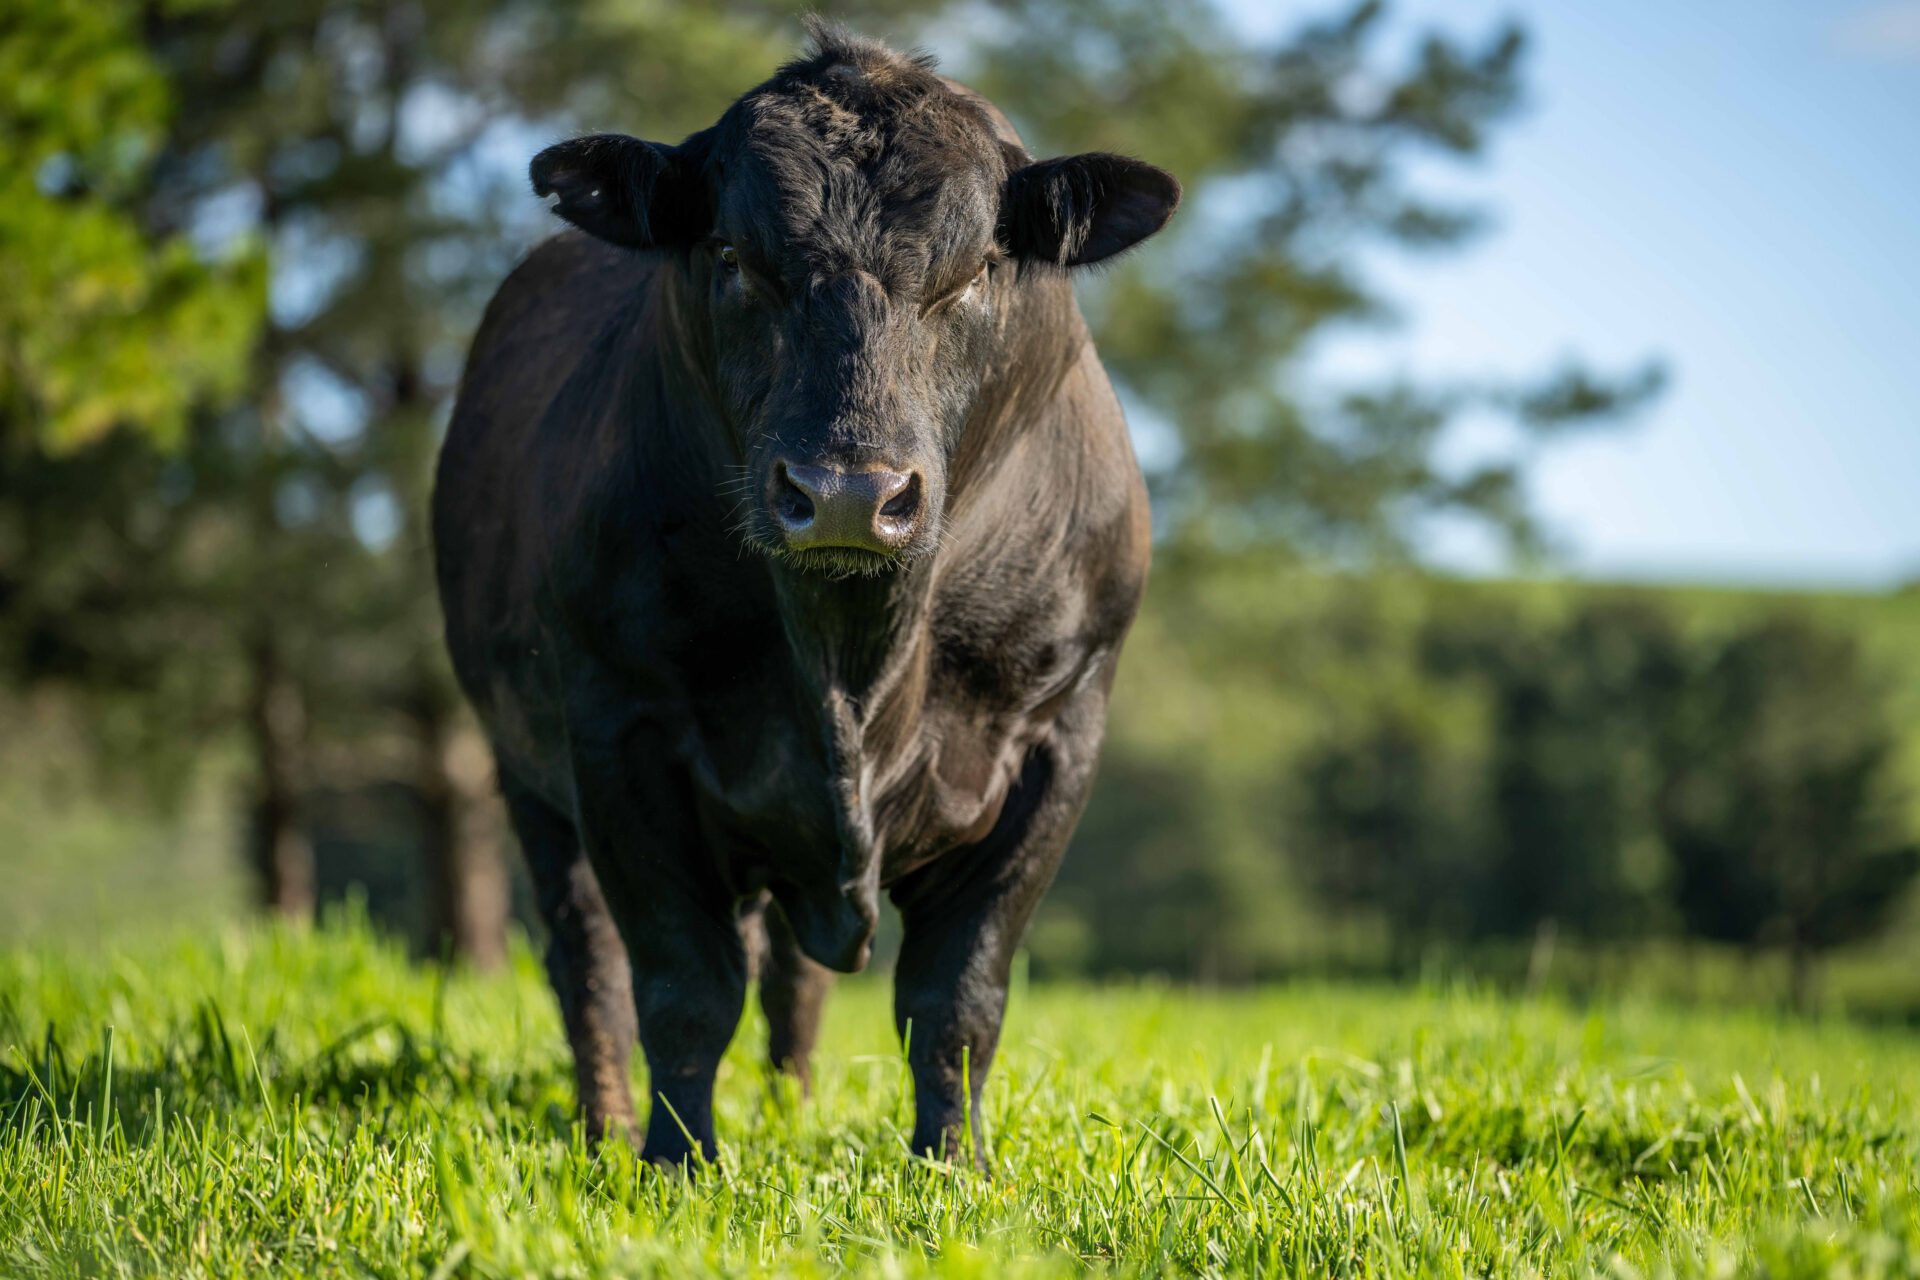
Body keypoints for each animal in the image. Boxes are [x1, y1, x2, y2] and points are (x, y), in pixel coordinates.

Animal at [431, 21, 1177, 1168]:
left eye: (973, 271)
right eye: (736, 258)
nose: (847, 494)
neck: (856, 662)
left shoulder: (1058, 734)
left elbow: (958, 993)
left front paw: (951, 1166)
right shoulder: (620, 730)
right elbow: (680, 985)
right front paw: (675, 1162)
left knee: (787, 974)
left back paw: (789, 1105)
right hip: (528, 778)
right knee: (588, 962)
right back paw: (606, 1124)